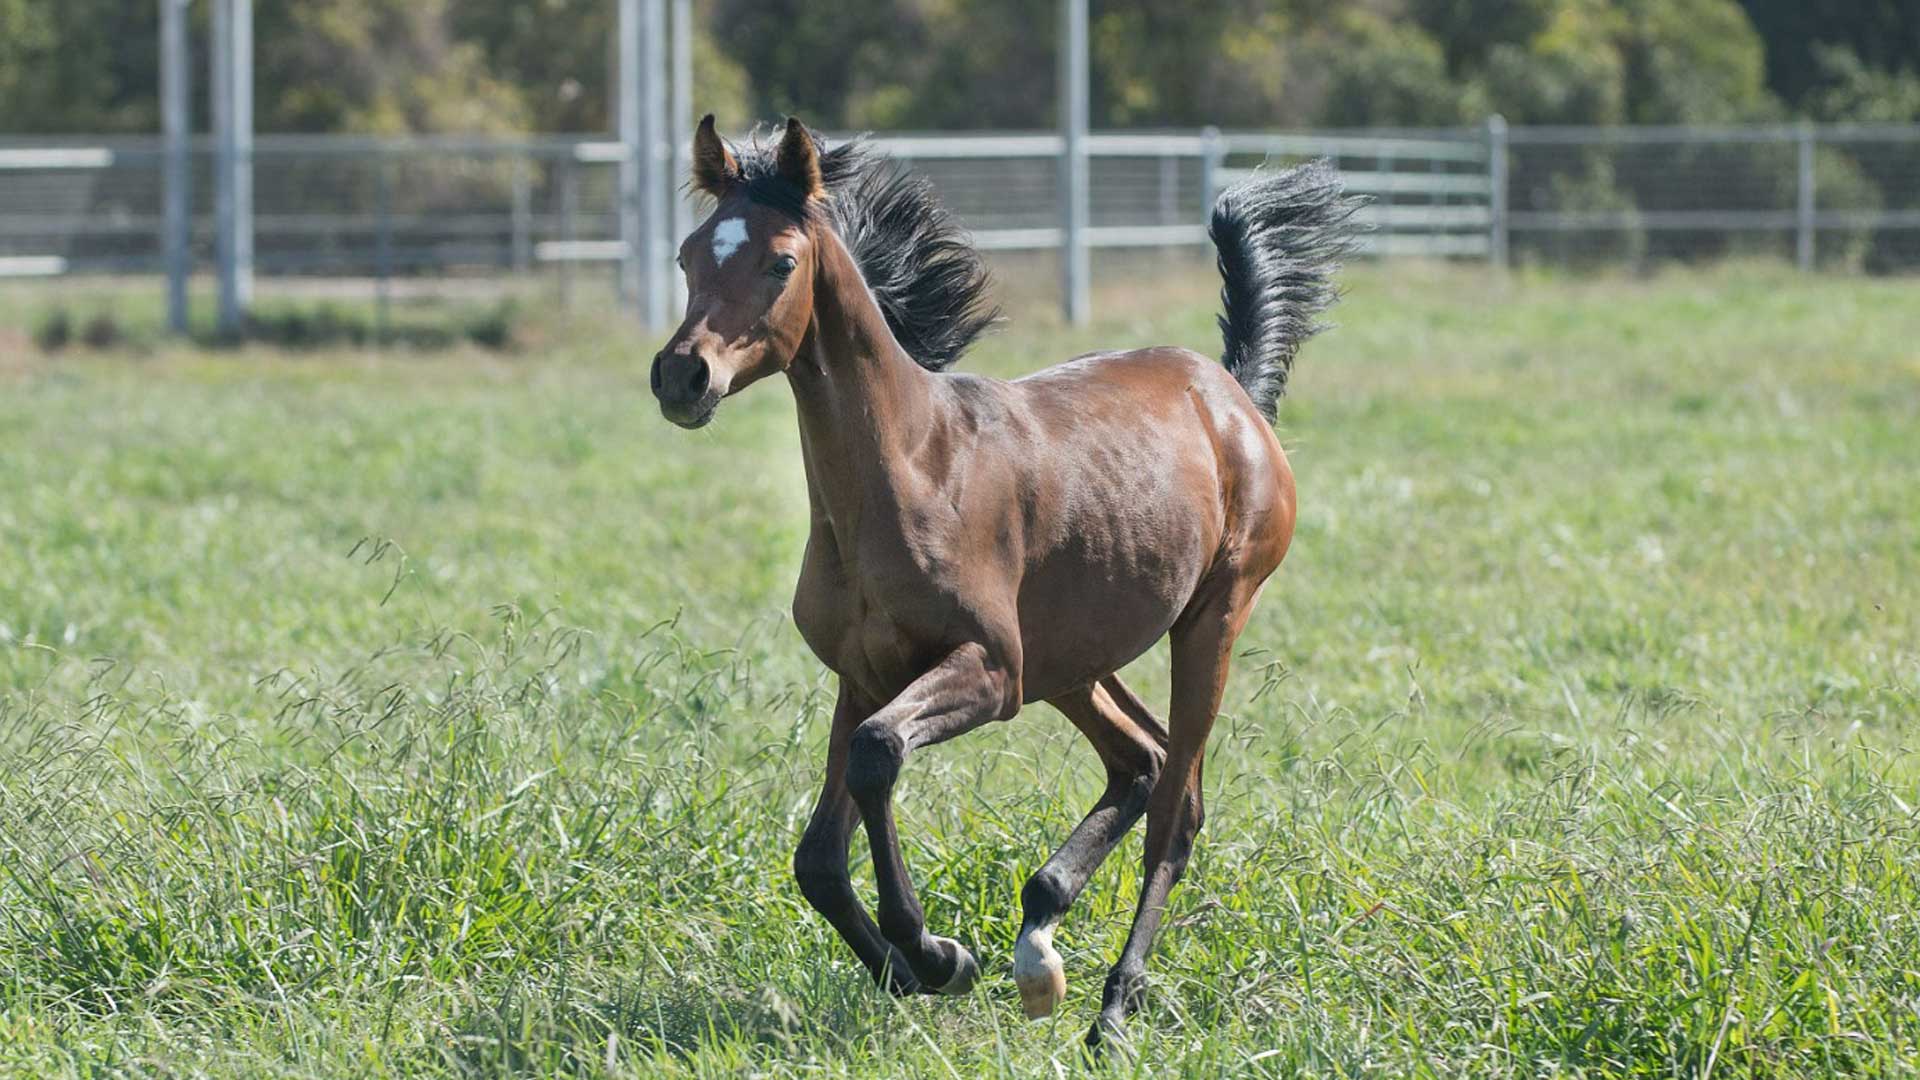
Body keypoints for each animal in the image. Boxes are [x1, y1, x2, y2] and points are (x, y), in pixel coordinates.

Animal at [652, 111, 1359, 1045]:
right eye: (689, 255)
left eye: (780, 262)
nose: (681, 375)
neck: (913, 468)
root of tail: (1232, 394)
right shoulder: (862, 675)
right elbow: (819, 859)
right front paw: (917, 969)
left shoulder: (990, 670)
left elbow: (878, 756)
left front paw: (934, 953)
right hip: (1071, 659)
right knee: (1141, 759)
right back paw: (1040, 934)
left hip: (1208, 619)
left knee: (1177, 809)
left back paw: (1112, 1006)